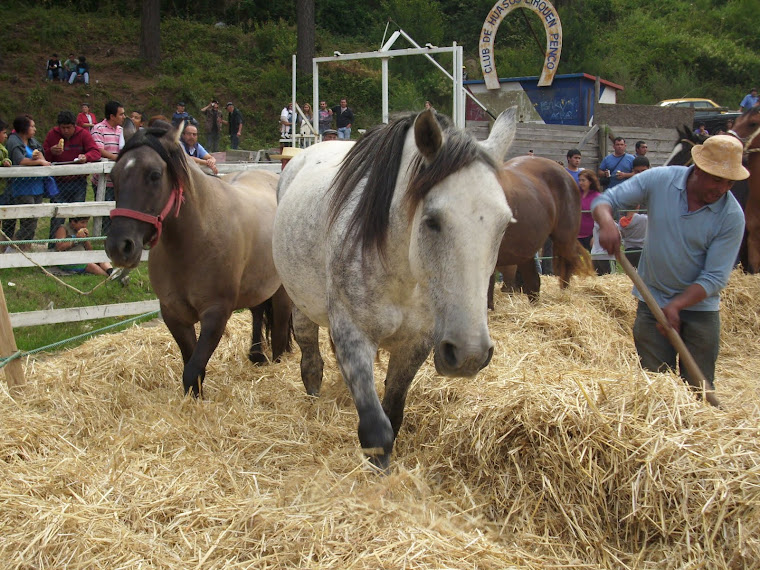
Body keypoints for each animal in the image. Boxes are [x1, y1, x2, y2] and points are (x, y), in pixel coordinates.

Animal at [107, 125, 294, 394]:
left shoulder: (216, 314)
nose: (119, 247)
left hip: (281, 292)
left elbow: (192, 370)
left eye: (154, 175)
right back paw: (256, 354)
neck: (194, 240)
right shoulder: (173, 314)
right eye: (113, 175)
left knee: (279, 329)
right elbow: (191, 367)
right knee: (258, 311)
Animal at [274, 107, 516, 466]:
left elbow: (393, 413)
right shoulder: (353, 336)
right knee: (311, 362)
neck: (403, 274)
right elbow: (377, 431)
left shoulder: (415, 344)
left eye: (504, 225)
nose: (469, 354)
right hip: (301, 306)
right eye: (431, 221)